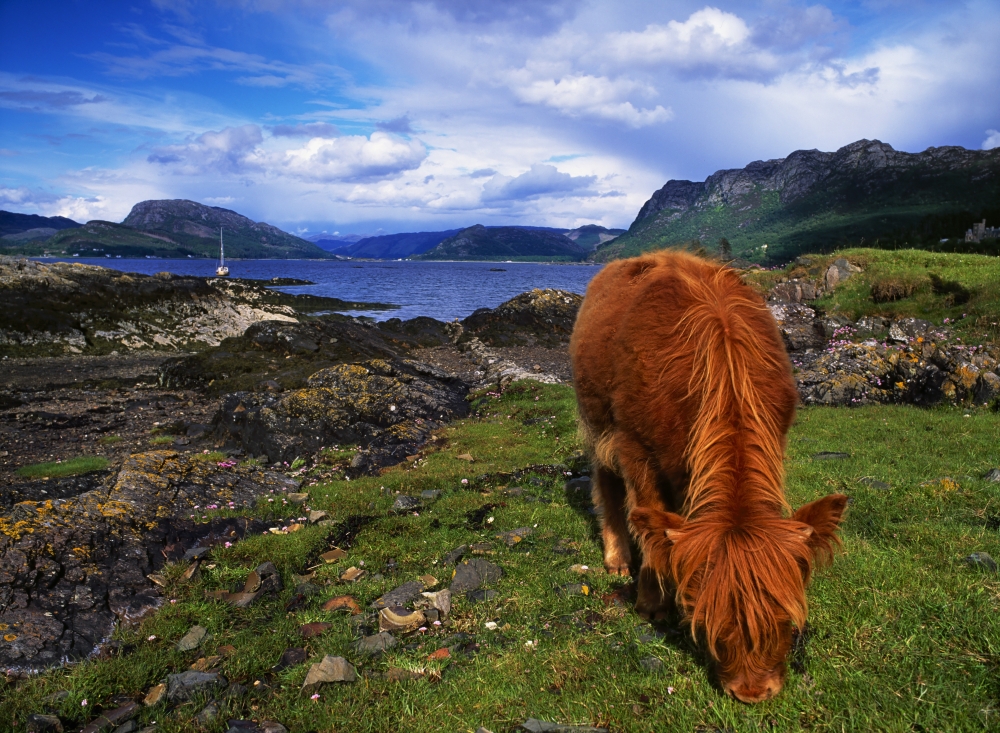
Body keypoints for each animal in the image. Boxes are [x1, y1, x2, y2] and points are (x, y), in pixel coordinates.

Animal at [570, 250, 847, 703]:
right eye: (708, 619)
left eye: (788, 616)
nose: (753, 692)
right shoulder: (634, 445)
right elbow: (648, 515)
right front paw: (652, 601)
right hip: (596, 420)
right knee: (607, 484)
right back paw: (617, 559)